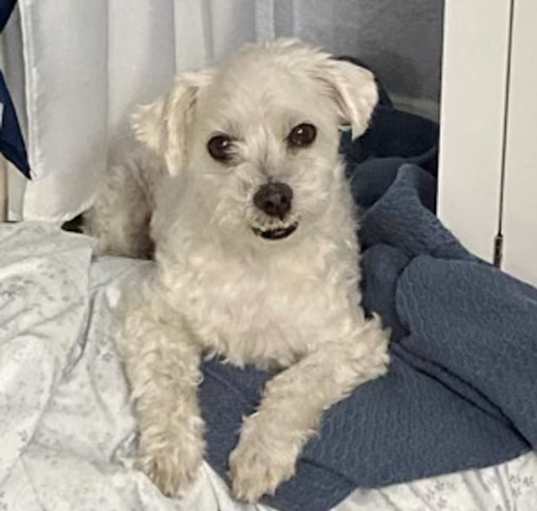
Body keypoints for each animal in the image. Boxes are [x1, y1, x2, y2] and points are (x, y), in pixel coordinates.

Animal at [87, 40, 390, 504]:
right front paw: (171, 451)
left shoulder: (353, 341)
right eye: (219, 145)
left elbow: (295, 385)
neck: (257, 260)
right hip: (121, 221)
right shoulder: (152, 317)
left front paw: (259, 458)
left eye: (303, 133)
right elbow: (166, 381)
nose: (274, 197)